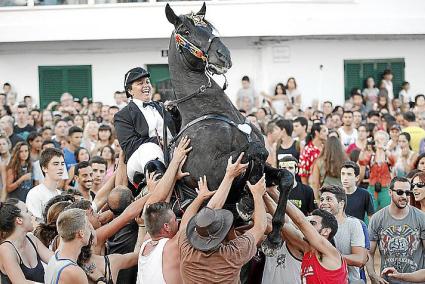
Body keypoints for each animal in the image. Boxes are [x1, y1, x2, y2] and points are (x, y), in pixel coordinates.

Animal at [163, 2, 292, 255]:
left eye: (211, 27)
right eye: (185, 30)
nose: (223, 55)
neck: (211, 111)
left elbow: (285, 176)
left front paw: (273, 237)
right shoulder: (210, 175)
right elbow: (254, 152)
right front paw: (247, 200)